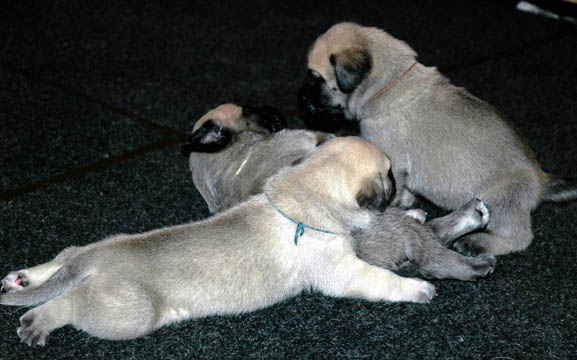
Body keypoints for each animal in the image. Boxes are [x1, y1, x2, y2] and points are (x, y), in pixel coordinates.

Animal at [0, 137, 434, 346]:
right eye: (389, 176)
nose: (404, 188)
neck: (303, 193)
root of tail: (100, 257)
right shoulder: (342, 271)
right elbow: (380, 279)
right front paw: (417, 287)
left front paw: (414, 217)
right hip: (127, 314)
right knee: (71, 303)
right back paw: (38, 320)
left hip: (93, 251)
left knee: (65, 255)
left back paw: (23, 278)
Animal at [181, 104, 496, 282]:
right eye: (249, 111)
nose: (276, 112)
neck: (232, 160)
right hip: (404, 232)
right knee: (435, 251)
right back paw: (473, 242)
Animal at [296, 21, 576, 256]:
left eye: (317, 81)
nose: (300, 98)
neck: (387, 84)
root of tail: (540, 180)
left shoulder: (392, 162)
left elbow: (391, 188)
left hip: (501, 200)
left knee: (519, 238)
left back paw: (479, 242)